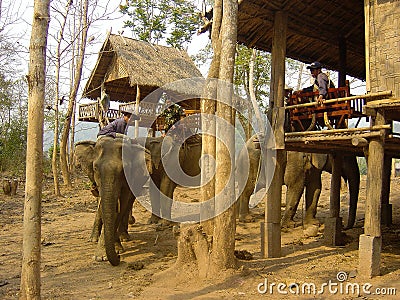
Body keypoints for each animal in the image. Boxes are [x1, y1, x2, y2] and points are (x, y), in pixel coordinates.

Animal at [74, 136, 151, 264]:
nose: (119, 258)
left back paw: (124, 237)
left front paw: (113, 251)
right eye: (95, 168)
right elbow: (103, 206)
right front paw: (102, 256)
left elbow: (122, 206)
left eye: (123, 170)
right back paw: (93, 239)